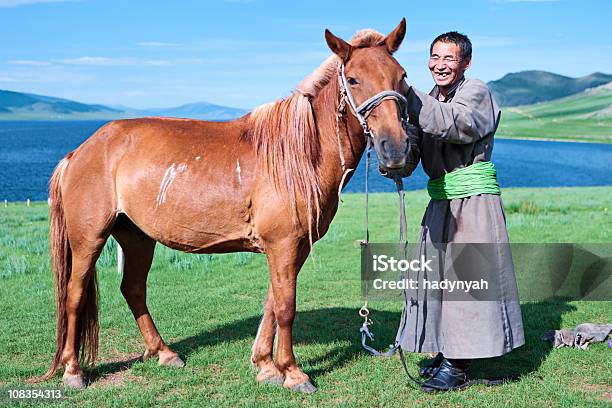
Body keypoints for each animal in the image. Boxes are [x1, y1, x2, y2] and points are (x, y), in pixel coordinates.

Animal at [41, 19, 412, 392]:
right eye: (354, 79)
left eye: (402, 77)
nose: (395, 149)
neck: (298, 153)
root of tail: (80, 151)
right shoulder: (283, 245)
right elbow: (285, 307)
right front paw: (292, 372)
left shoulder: (291, 247)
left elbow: (272, 302)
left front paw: (265, 365)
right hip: (89, 239)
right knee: (74, 295)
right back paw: (73, 371)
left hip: (136, 237)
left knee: (132, 289)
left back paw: (164, 353)